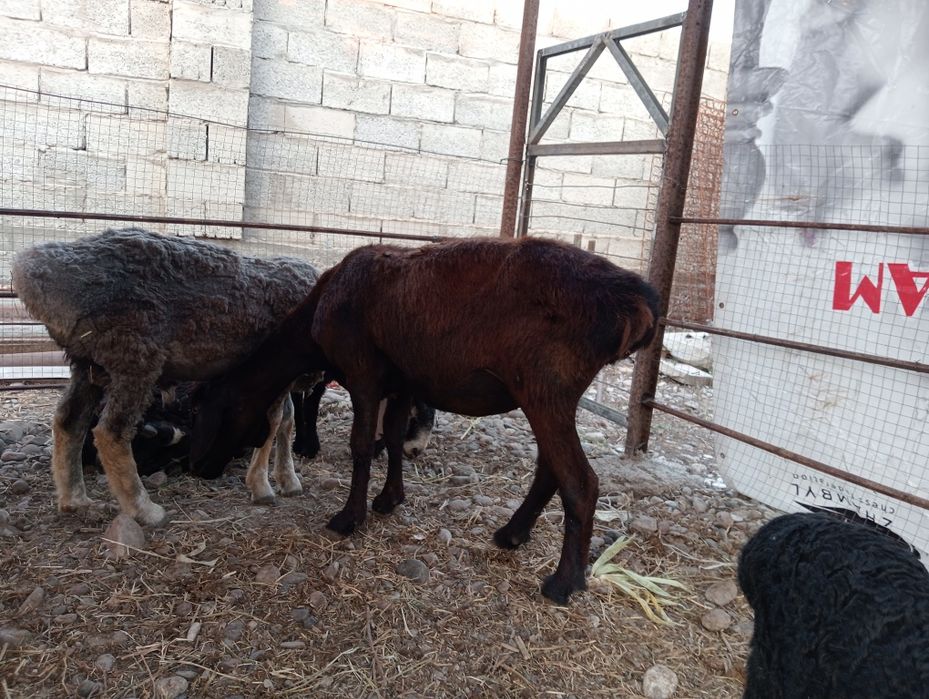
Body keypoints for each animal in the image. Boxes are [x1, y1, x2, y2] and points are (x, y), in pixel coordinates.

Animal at [12, 228, 320, 525]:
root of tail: (33, 271)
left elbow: (286, 419)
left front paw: (287, 479)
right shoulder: (273, 371)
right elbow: (275, 421)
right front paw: (262, 486)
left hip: (88, 362)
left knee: (69, 422)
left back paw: (75, 501)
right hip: (133, 354)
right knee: (111, 431)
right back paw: (144, 510)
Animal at [190, 236, 658, 603]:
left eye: (211, 412)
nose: (200, 468)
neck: (315, 321)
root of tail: (636, 300)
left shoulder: (363, 372)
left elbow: (363, 444)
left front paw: (349, 518)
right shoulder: (401, 381)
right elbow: (395, 437)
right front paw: (389, 500)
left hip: (548, 387)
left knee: (580, 481)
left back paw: (564, 583)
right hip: (549, 396)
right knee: (550, 469)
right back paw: (512, 534)